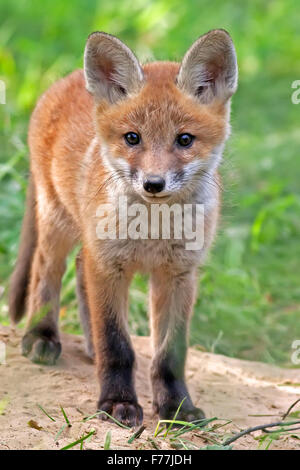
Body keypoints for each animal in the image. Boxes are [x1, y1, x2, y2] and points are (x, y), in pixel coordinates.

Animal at [8, 29, 237, 426]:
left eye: (185, 139)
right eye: (133, 138)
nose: (153, 184)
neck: (153, 231)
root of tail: (64, 81)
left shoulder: (179, 274)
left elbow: (170, 355)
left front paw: (177, 407)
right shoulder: (109, 265)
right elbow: (117, 346)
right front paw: (117, 403)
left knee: (79, 270)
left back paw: (88, 345)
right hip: (57, 222)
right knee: (45, 271)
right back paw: (42, 334)